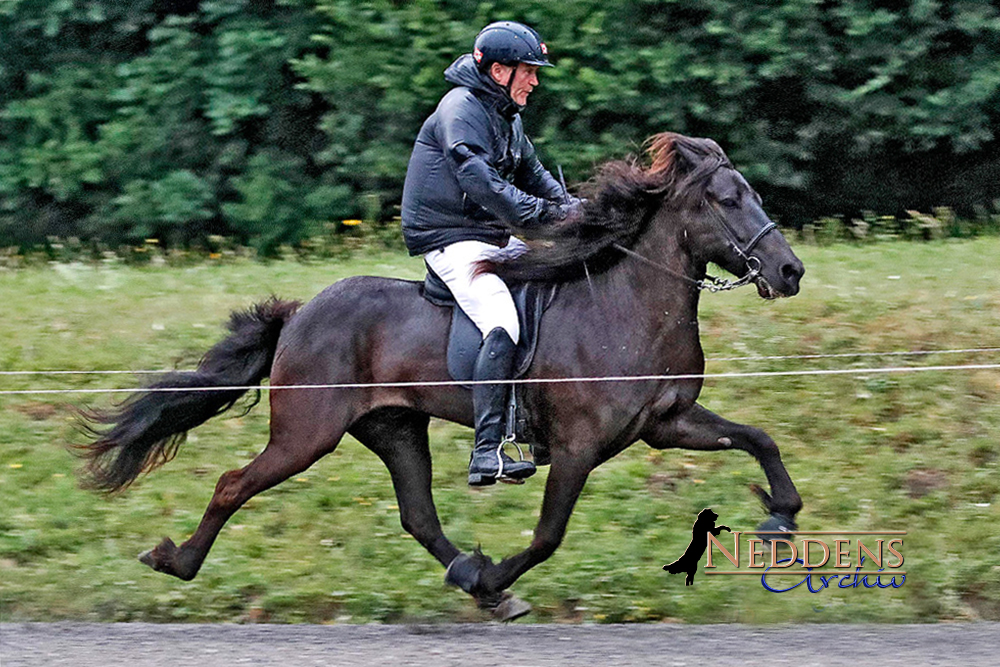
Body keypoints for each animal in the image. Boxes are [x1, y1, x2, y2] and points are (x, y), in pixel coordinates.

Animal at [82, 132, 808, 620]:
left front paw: (780, 517)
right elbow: (548, 535)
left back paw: (470, 577)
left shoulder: (667, 422)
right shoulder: (579, 447)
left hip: (394, 426)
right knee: (235, 484)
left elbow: (759, 438)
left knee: (418, 516)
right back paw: (175, 560)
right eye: (726, 199)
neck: (624, 304)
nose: (790, 271)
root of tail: (299, 313)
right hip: (306, 433)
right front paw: (494, 577)